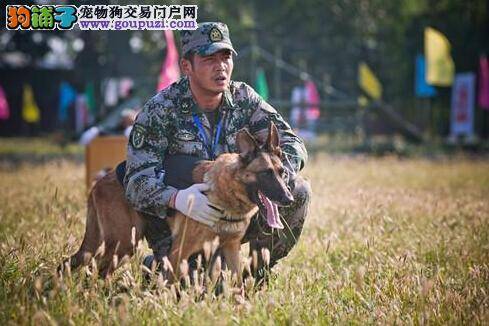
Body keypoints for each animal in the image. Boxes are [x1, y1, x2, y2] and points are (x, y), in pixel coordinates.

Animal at [59, 121, 292, 282]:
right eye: (266, 173)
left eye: (282, 172)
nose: (288, 199)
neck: (226, 191)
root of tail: (99, 181)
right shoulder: (179, 253)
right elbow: (169, 287)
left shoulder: (230, 249)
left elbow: (238, 287)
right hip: (123, 244)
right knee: (96, 270)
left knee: (78, 264)